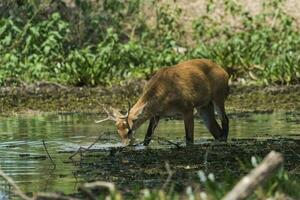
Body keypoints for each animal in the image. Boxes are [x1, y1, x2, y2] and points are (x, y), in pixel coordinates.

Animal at [98, 59, 230, 145]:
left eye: (129, 130)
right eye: (118, 131)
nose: (126, 144)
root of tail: (225, 72)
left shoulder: (187, 106)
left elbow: (189, 139)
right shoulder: (156, 114)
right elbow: (147, 138)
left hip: (218, 95)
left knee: (225, 120)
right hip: (204, 106)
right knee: (215, 128)